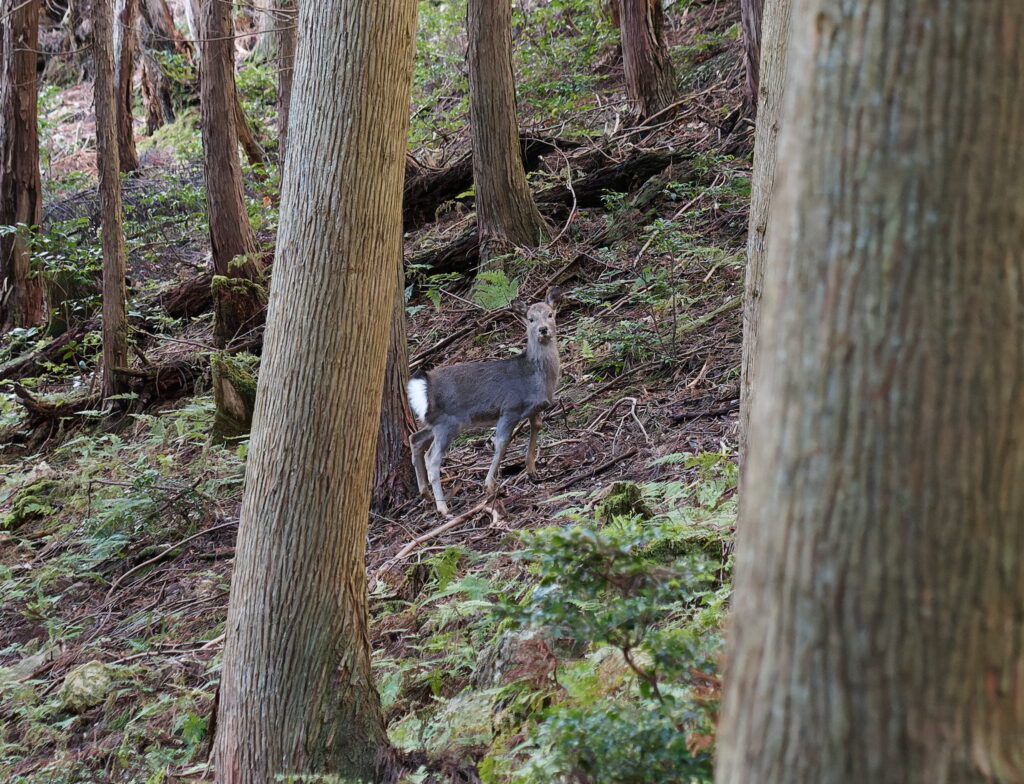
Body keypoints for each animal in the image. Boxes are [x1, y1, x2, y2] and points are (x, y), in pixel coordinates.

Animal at [407, 288, 565, 515]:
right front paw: (490, 485)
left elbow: (536, 427)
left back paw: (425, 492)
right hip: (449, 422)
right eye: (530, 319)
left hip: (436, 422)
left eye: (550, 314)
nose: (543, 329)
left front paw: (532, 470)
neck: (535, 378)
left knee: (415, 439)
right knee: (433, 457)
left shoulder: (535, 409)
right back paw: (443, 508)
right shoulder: (509, 408)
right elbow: (501, 442)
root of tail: (423, 386)